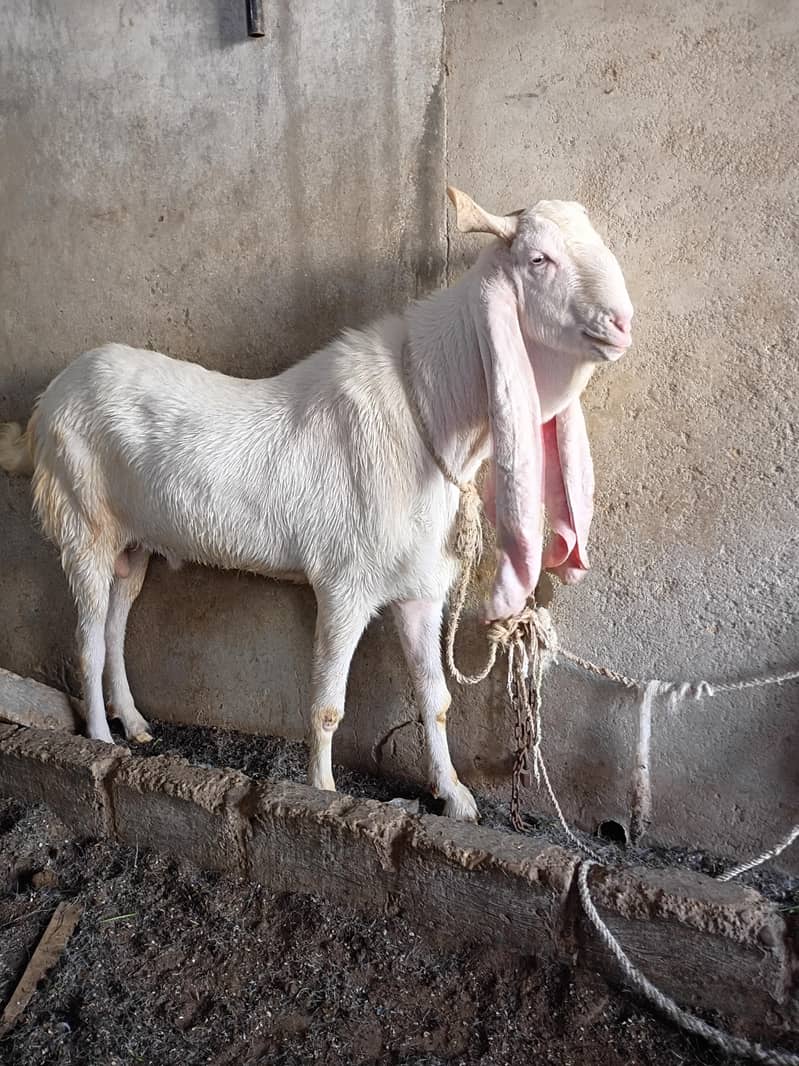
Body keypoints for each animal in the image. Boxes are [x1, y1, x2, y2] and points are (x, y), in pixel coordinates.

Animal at [0, 187, 633, 821]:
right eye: (538, 260)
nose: (622, 323)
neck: (428, 415)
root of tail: (44, 406)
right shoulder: (344, 582)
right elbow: (328, 706)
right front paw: (323, 797)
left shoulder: (420, 589)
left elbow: (436, 698)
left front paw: (455, 797)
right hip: (83, 523)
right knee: (86, 642)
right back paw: (99, 743)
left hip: (132, 542)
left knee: (114, 626)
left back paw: (132, 725)